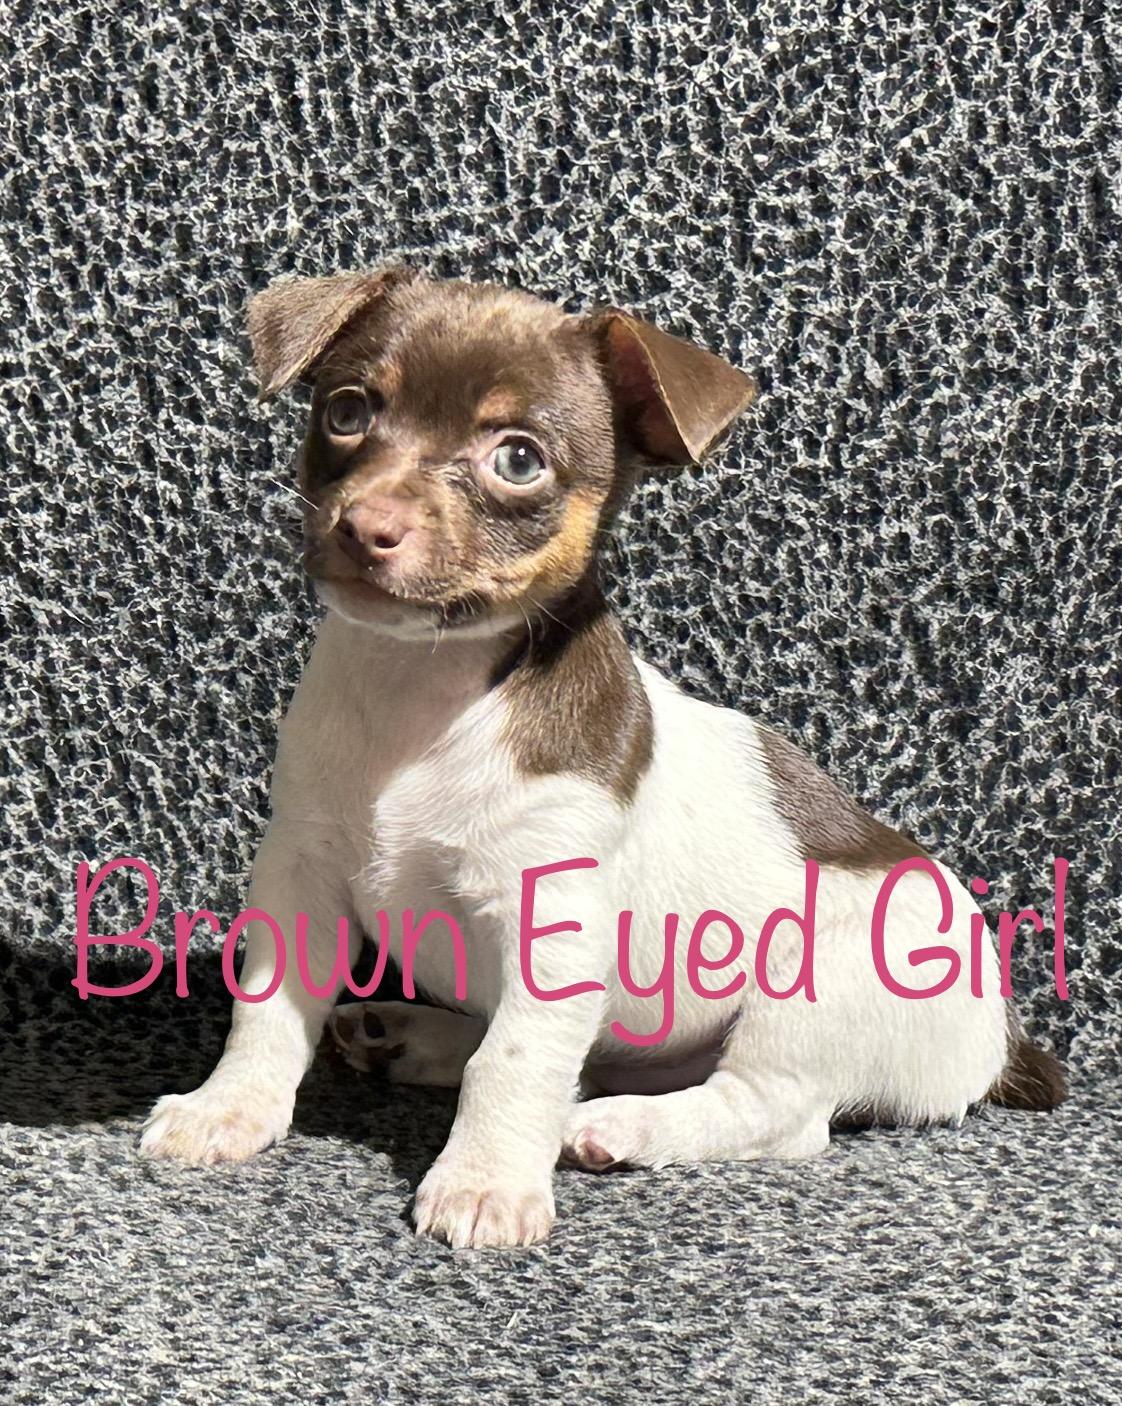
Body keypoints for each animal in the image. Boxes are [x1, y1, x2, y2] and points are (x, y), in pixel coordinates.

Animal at [141, 266, 1065, 1247]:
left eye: (518, 460)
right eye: (348, 411)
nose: (366, 526)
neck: (424, 691)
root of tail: (999, 1036)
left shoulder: (553, 920)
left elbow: (515, 1059)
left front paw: (484, 1181)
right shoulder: (301, 872)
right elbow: (269, 1010)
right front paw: (230, 1108)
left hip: (816, 990)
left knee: (774, 1111)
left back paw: (618, 1127)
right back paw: (414, 1035)